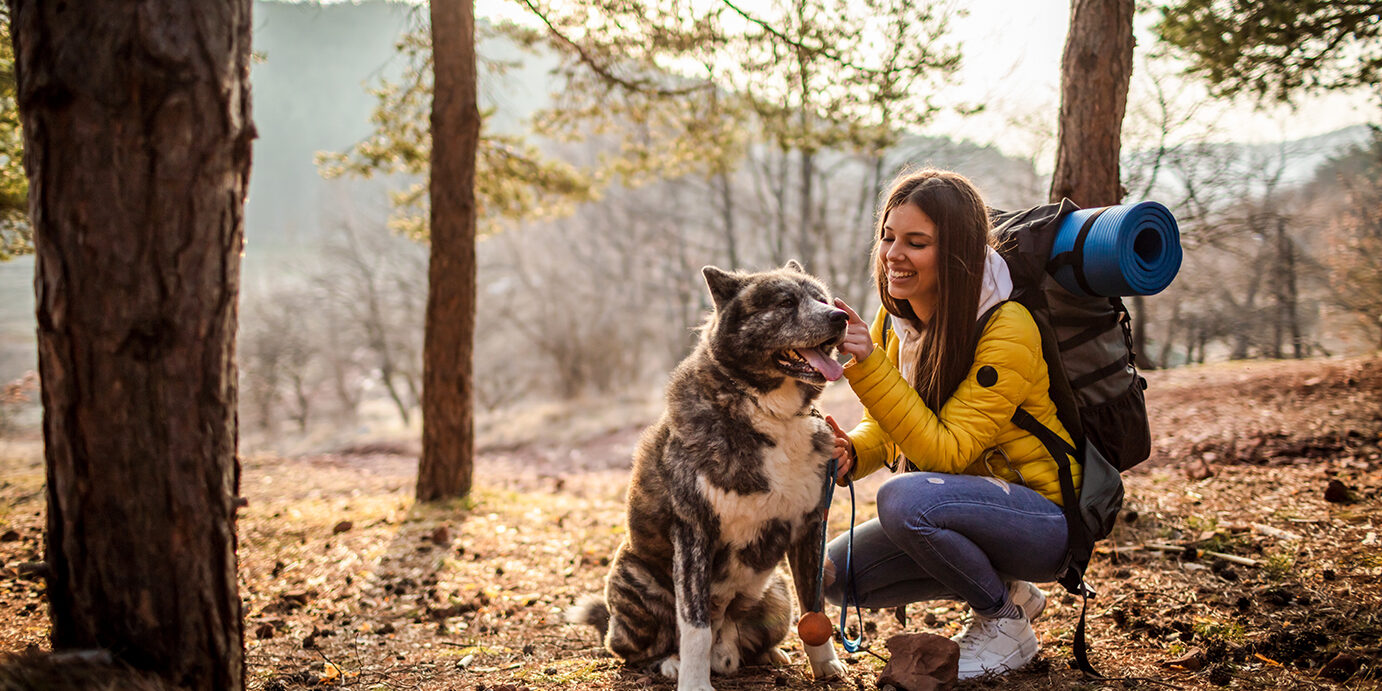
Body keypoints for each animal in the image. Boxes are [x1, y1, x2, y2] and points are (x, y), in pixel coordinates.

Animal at [566, 262, 845, 691]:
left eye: (822, 299)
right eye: (785, 302)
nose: (841, 317)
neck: (768, 412)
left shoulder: (810, 526)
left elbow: (814, 609)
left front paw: (825, 663)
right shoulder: (694, 535)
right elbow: (694, 627)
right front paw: (694, 683)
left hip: (776, 593)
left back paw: (770, 655)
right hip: (636, 581)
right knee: (634, 650)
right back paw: (668, 664)